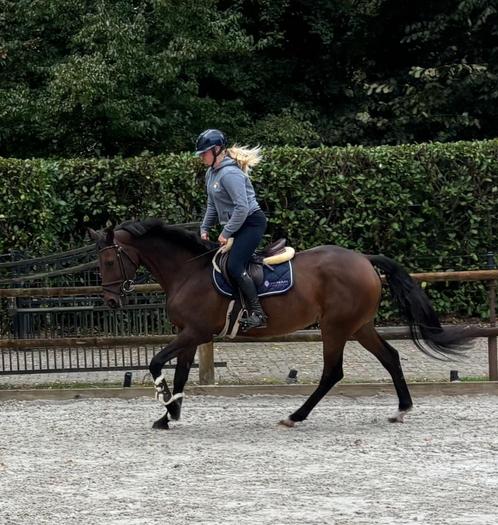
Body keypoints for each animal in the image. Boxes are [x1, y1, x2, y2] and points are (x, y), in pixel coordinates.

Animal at [88, 219, 474, 428]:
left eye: (108, 261)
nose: (110, 301)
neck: (188, 271)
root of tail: (363, 259)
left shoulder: (195, 332)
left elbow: (156, 363)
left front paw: (165, 403)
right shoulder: (189, 334)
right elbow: (181, 372)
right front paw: (170, 415)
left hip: (335, 328)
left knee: (332, 372)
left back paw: (295, 416)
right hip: (358, 326)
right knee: (391, 357)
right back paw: (401, 409)